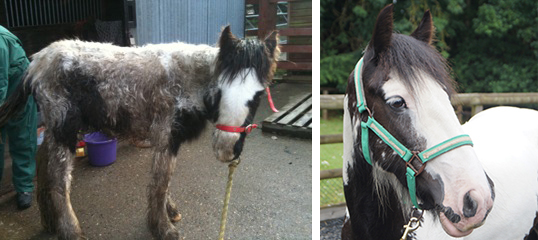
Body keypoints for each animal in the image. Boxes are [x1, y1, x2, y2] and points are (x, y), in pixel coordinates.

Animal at [0, 25, 278, 239]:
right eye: (220, 90)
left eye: (258, 96)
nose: (226, 150)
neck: (189, 79)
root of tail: (37, 62)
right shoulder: (166, 136)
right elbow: (160, 182)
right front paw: (163, 229)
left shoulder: (167, 141)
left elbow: (164, 180)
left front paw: (169, 213)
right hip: (64, 130)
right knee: (59, 179)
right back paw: (71, 232)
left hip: (54, 131)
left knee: (42, 165)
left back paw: (50, 223)